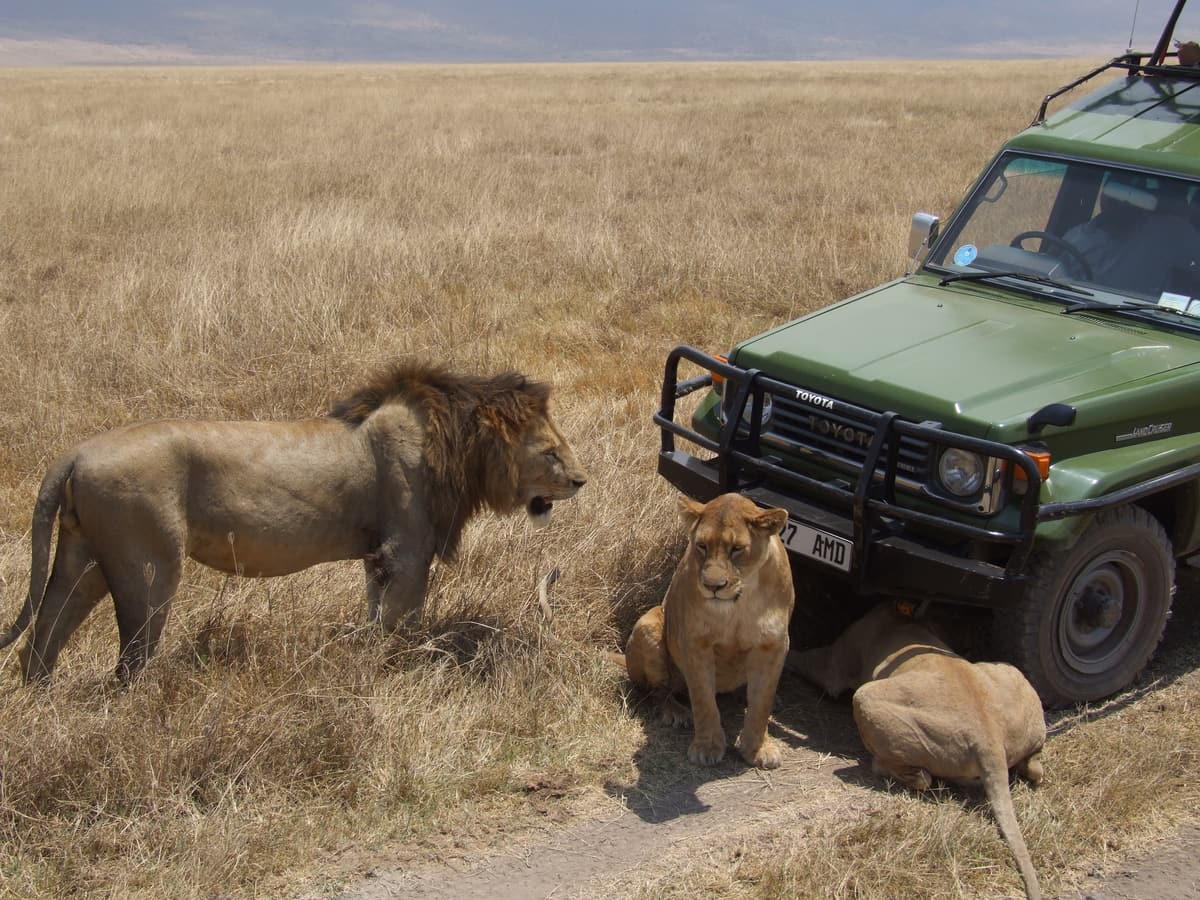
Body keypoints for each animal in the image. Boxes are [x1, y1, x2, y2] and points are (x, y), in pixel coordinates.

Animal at [0, 364, 587, 684]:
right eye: (550, 451)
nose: (581, 480)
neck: (454, 445)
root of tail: (75, 453)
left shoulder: (377, 556)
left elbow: (375, 615)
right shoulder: (405, 550)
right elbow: (401, 623)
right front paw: (400, 668)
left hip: (83, 558)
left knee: (42, 640)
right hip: (147, 564)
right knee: (131, 660)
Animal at [617, 493, 794, 769]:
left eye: (737, 548)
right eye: (701, 546)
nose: (713, 585)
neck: (738, 603)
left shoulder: (773, 645)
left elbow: (761, 702)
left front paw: (757, 749)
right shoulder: (695, 642)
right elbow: (703, 700)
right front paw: (707, 747)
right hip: (648, 625)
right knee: (659, 692)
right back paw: (677, 713)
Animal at [791, 603, 1046, 900]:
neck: (899, 618)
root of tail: (989, 738)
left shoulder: (836, 664)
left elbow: (804, 660)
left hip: (867, 697)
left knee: (920, 777)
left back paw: (883, 767)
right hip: (1010, 674)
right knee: (1036, 768)